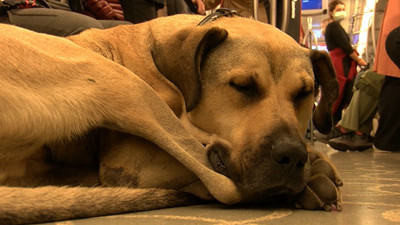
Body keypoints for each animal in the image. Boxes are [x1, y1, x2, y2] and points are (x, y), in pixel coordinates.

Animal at [1, 13, 342, 225]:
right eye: (242, 85)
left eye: (305, 93)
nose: (292, 156)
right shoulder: (130, 161)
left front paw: (314, 160)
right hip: (126, 86)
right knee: (223, 185)